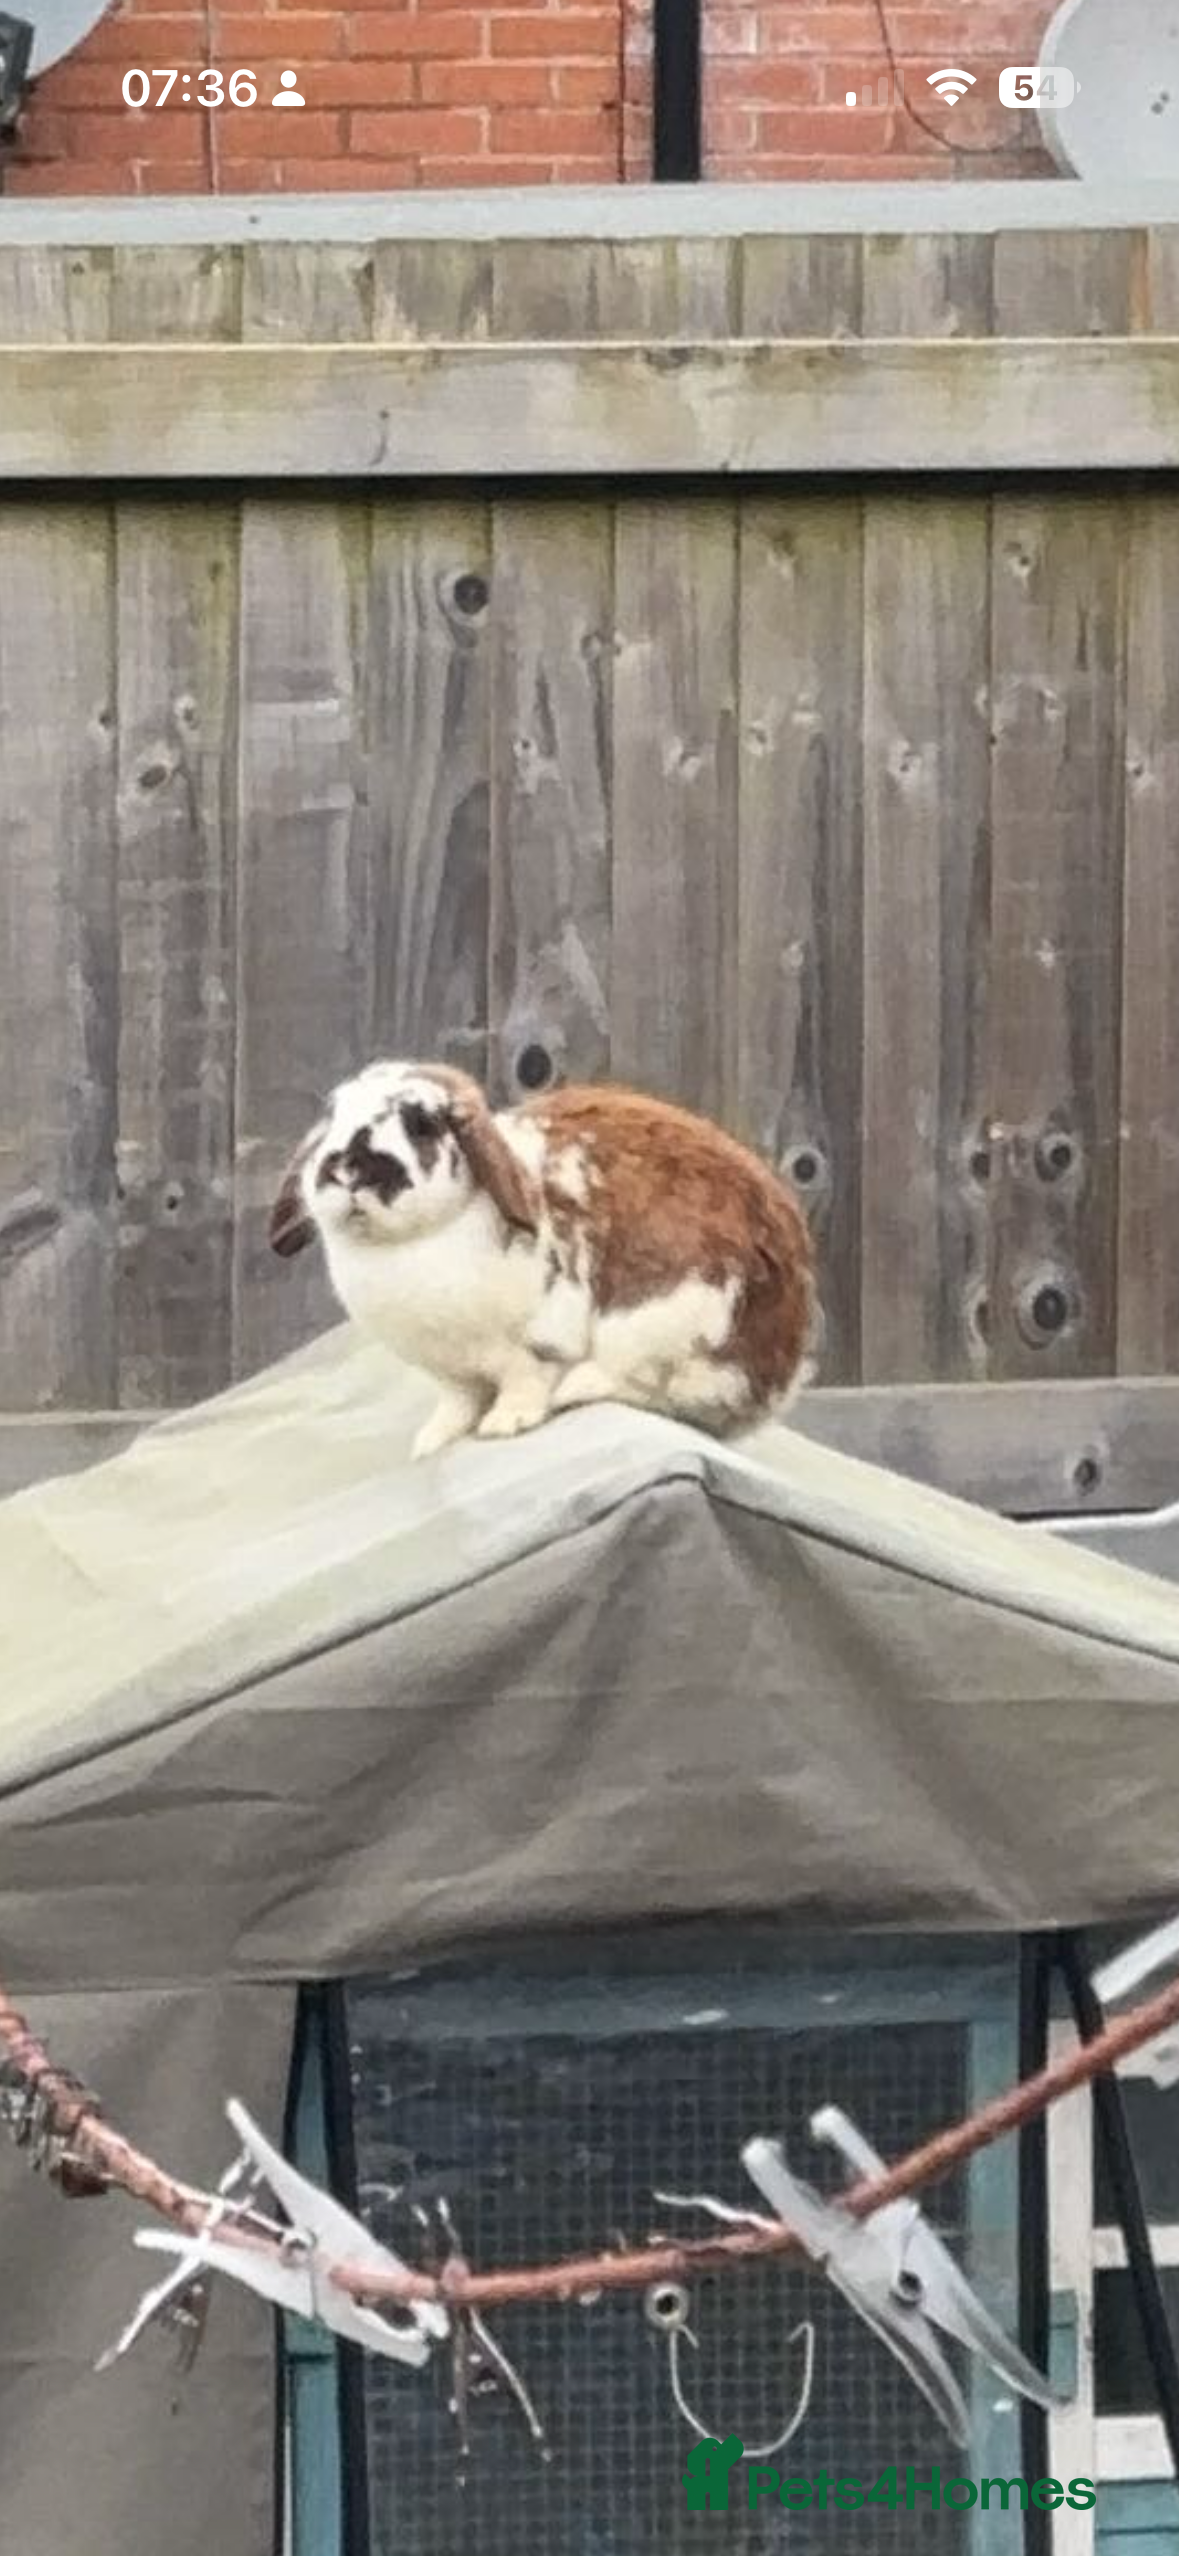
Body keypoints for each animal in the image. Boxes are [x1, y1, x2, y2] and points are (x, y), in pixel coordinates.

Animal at [269, 1061, 815, 1462]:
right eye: (333, 1114)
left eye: (421, 1123)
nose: (346, 1169)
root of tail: (780, 1364)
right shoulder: (453, 1376)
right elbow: (457, 1404)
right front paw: (431, 1444)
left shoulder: (537, 1342)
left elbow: (523, 1383)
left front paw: (504, 1425)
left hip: (671, 1317)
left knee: (654, 1386)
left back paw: (576, 1388)